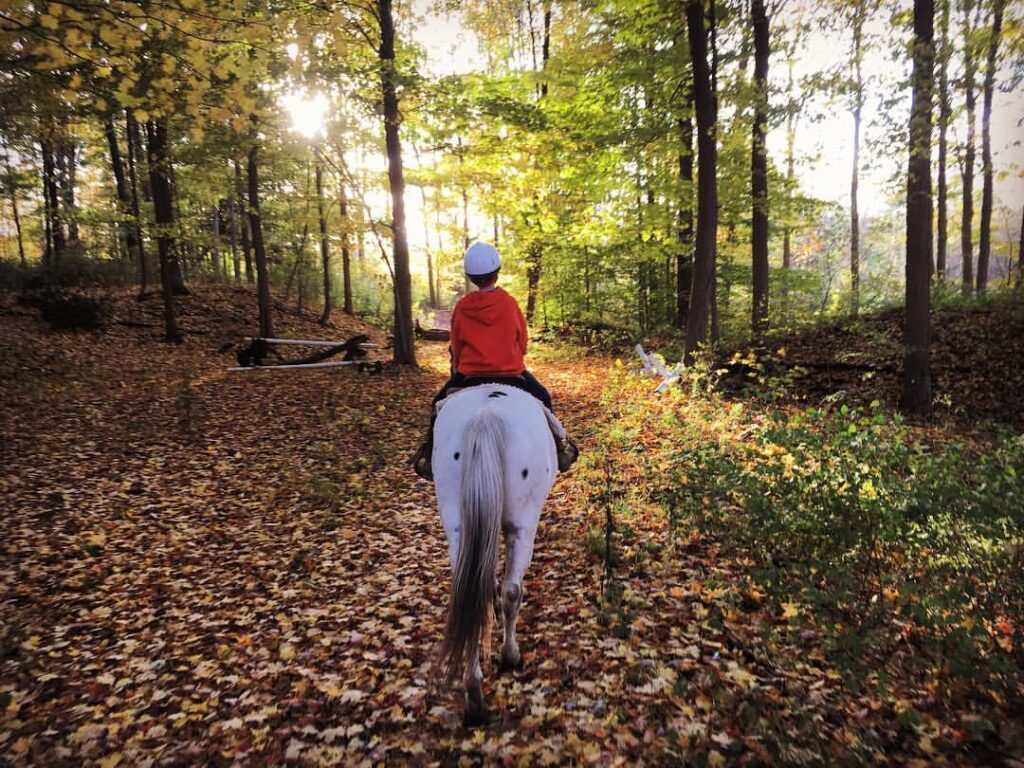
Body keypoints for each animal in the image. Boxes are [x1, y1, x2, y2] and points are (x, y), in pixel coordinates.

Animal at [432, 385, 561, 729]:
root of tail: (485, 415)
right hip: (522, 525)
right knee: (511, 591)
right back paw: (510, 656)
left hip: (458, 526)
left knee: (473, 594)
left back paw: (474, 695)